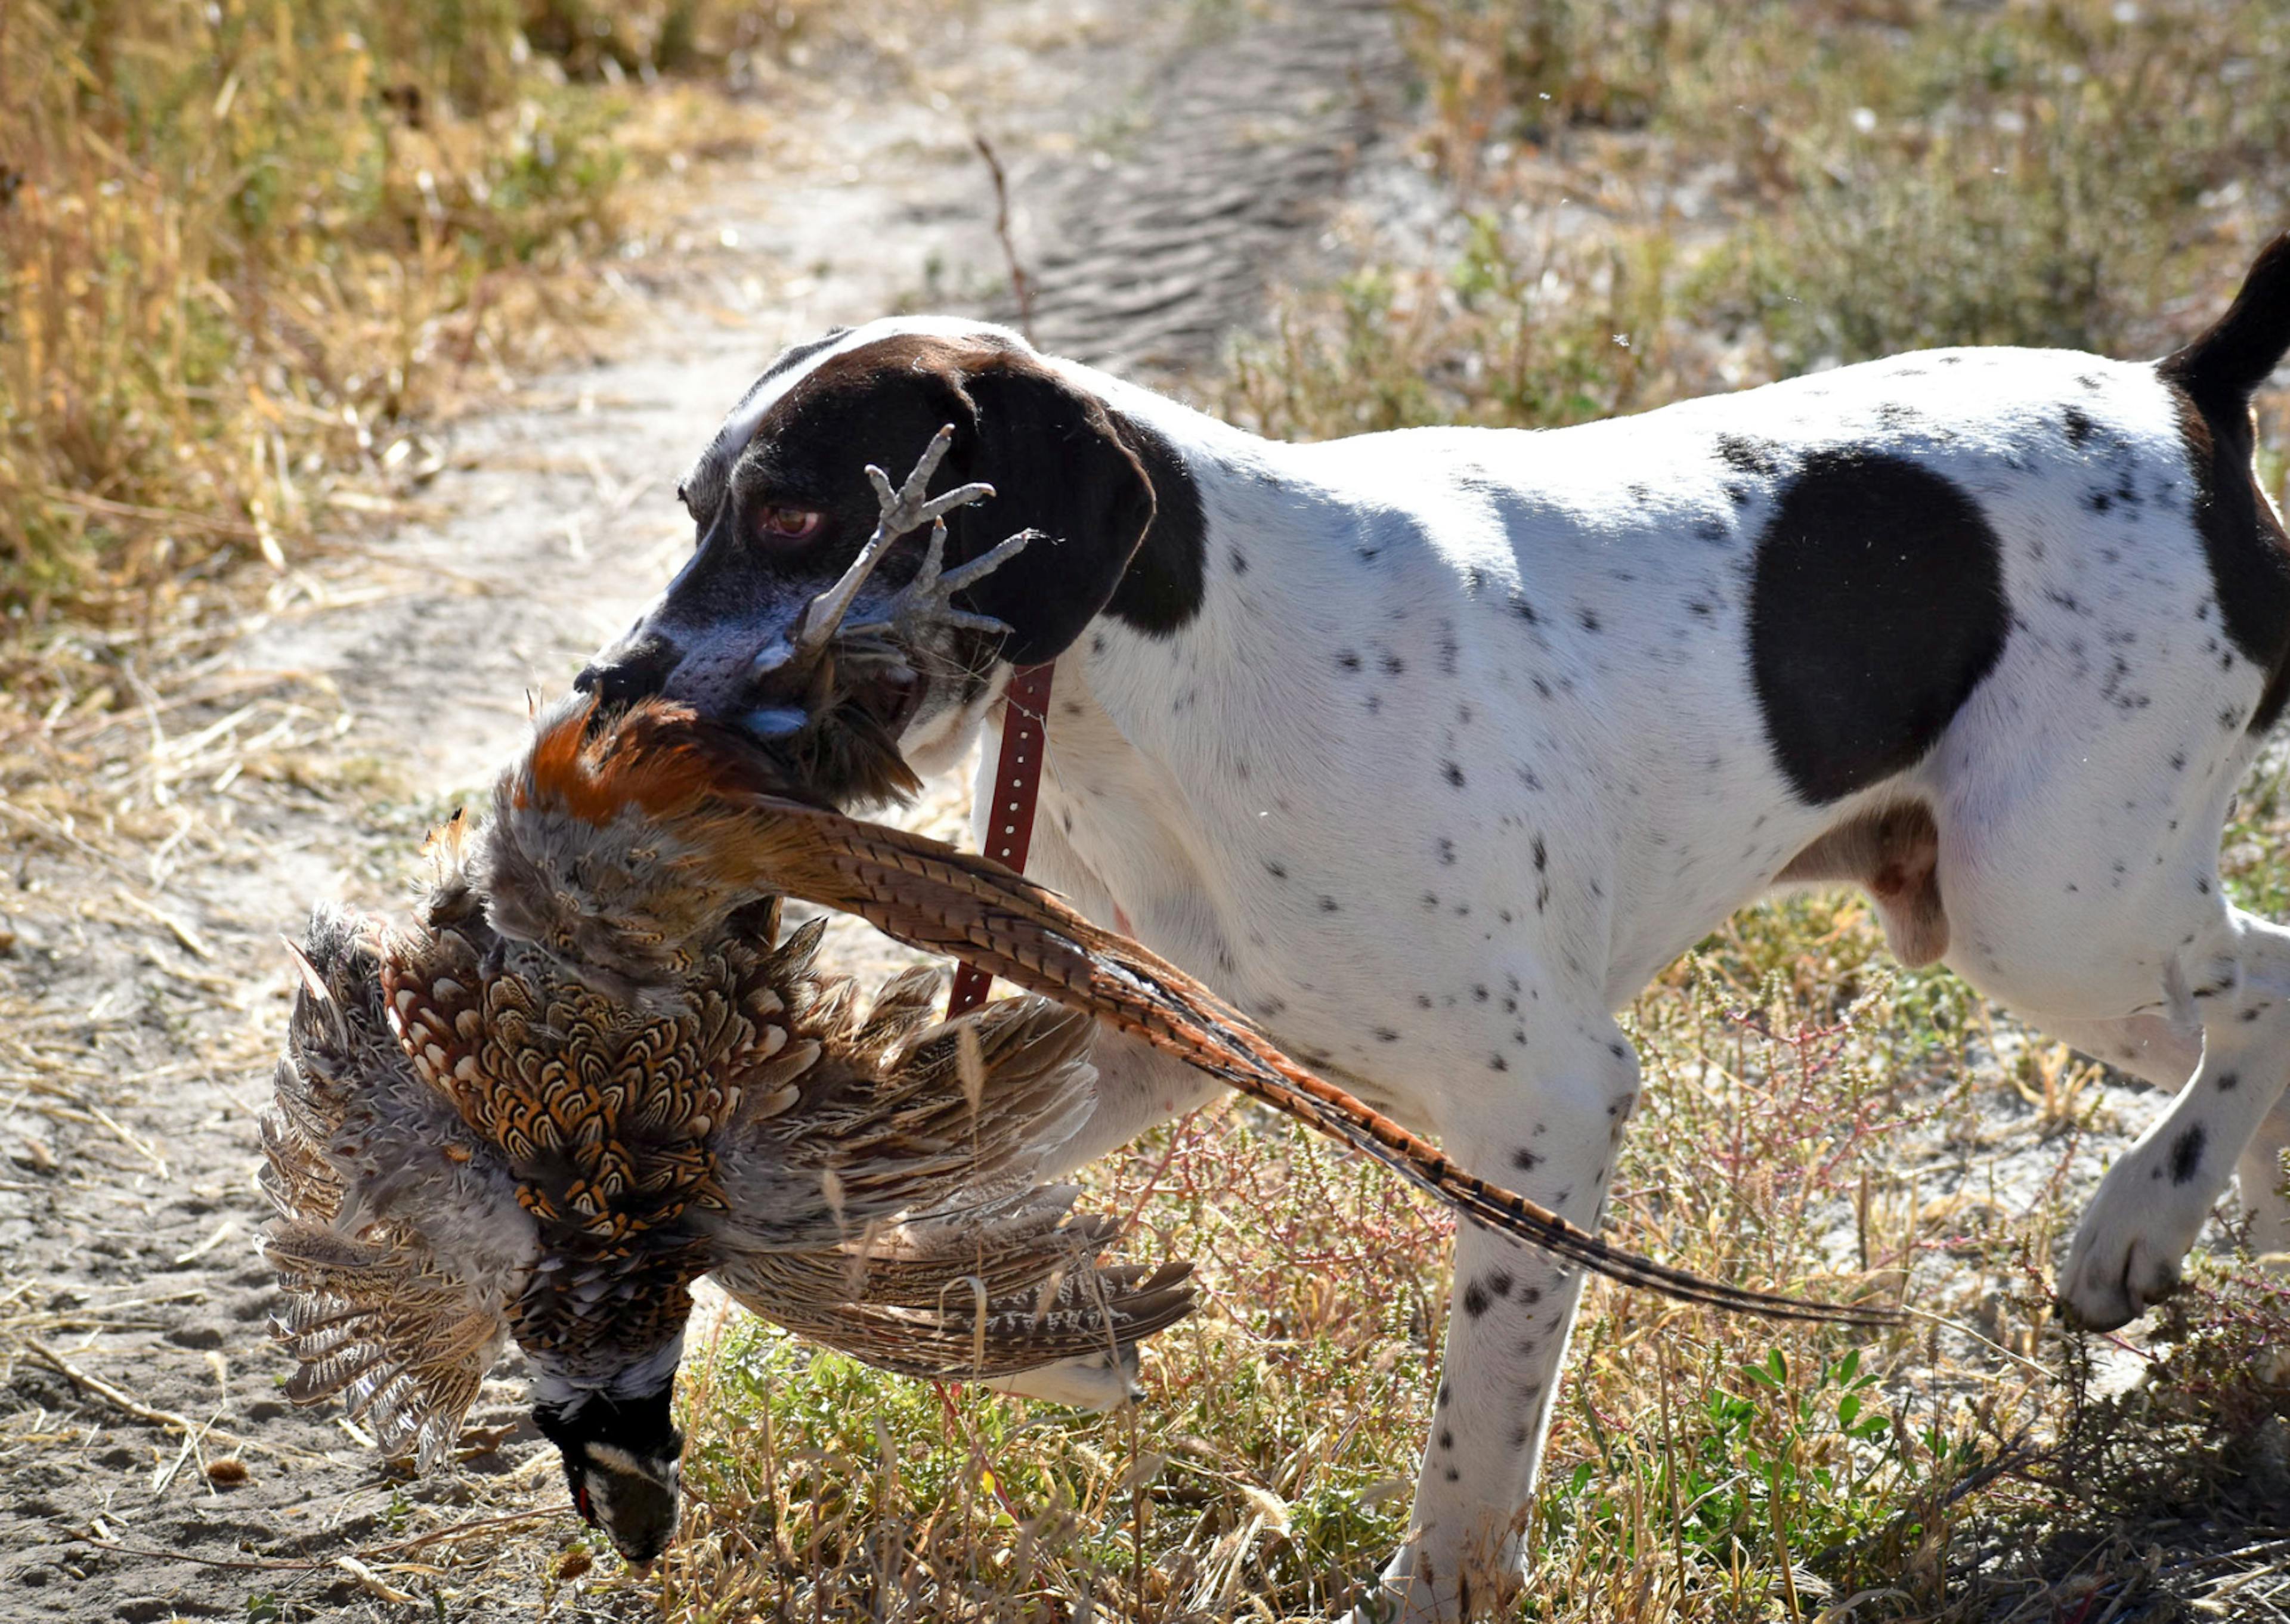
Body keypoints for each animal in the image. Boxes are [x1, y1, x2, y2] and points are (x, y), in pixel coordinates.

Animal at [581, 234, 2290, 1612]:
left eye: (798, 517)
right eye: (691, 510)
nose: (609, 689)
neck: (1168, 684)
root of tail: (2178, 394)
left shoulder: (1548, 1104)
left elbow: (1479, 1420)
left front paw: (1434, 1584)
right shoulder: (1163, 1037)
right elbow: (859, 1195)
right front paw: (1033, 1334)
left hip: (2048, 907)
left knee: (2264, 984)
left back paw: (2137, 1220)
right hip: (2041, 927)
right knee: (2244, 1025)